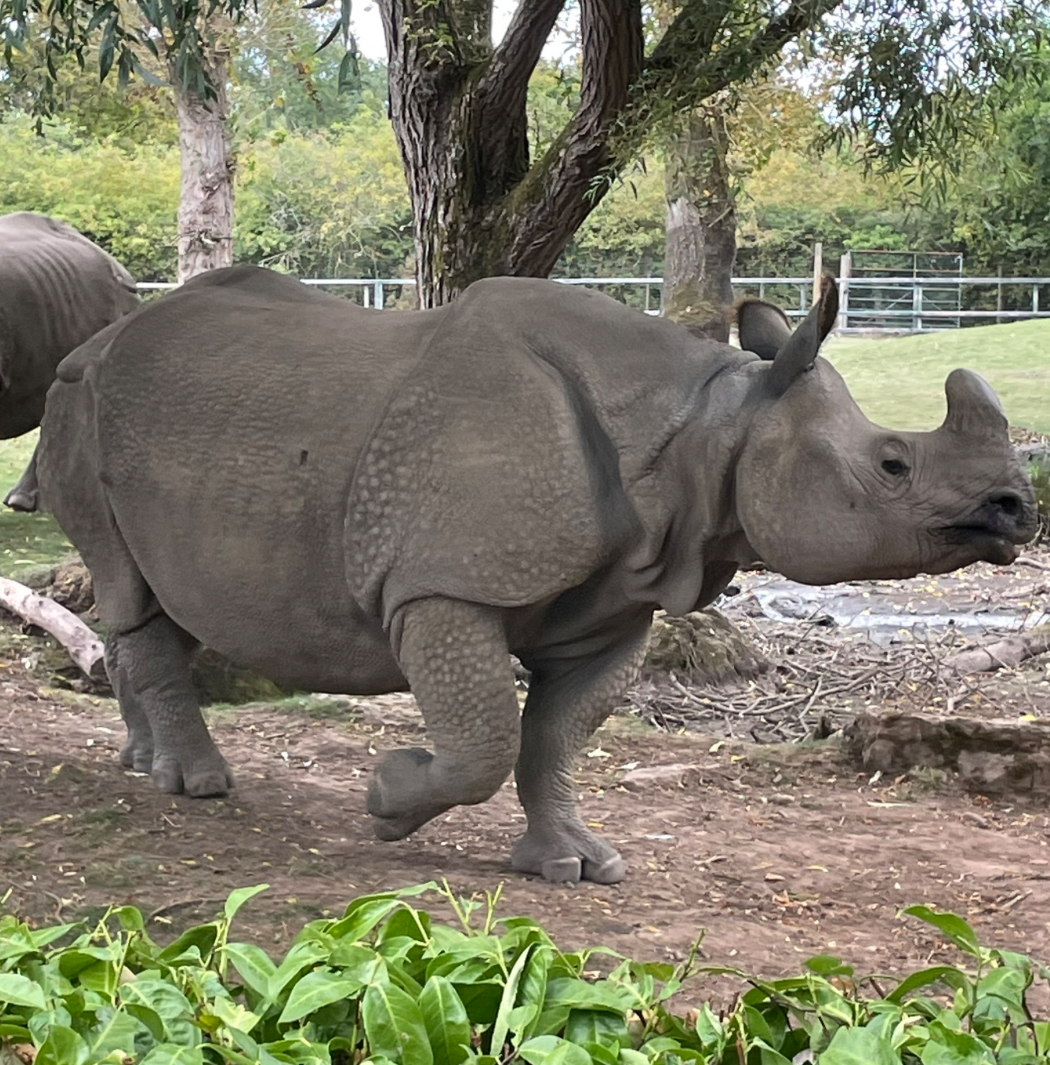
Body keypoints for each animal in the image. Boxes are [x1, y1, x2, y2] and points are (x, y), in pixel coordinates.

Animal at [37, 265, 1037, 885]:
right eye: (892, 464)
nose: (1017, 510)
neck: (713, 421)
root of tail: (97, 340)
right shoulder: (442, 582)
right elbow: (484, 737)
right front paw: (387, 800)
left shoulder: (617, 600)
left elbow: (554, 737)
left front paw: (576, 866)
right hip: (74, 408)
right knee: (131, 589)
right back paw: (197, 786)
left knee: (160, 597)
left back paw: (143, 763)